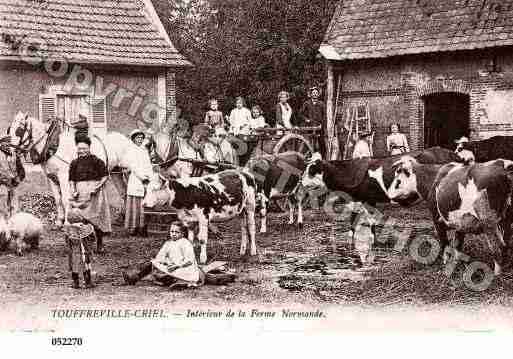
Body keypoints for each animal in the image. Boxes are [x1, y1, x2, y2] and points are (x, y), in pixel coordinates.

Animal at [9, 112, 153, 225]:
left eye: (19, 129)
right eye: (9, 128)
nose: (10, 149)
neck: (53, 145)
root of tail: (127, 140)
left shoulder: (64, 177)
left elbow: (66, 199)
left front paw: (66, 222)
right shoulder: (52, 178)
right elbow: (58, 200)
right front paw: (59, 222)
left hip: (131, 169)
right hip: (115, 172)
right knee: (124, 192)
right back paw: (121, 218)